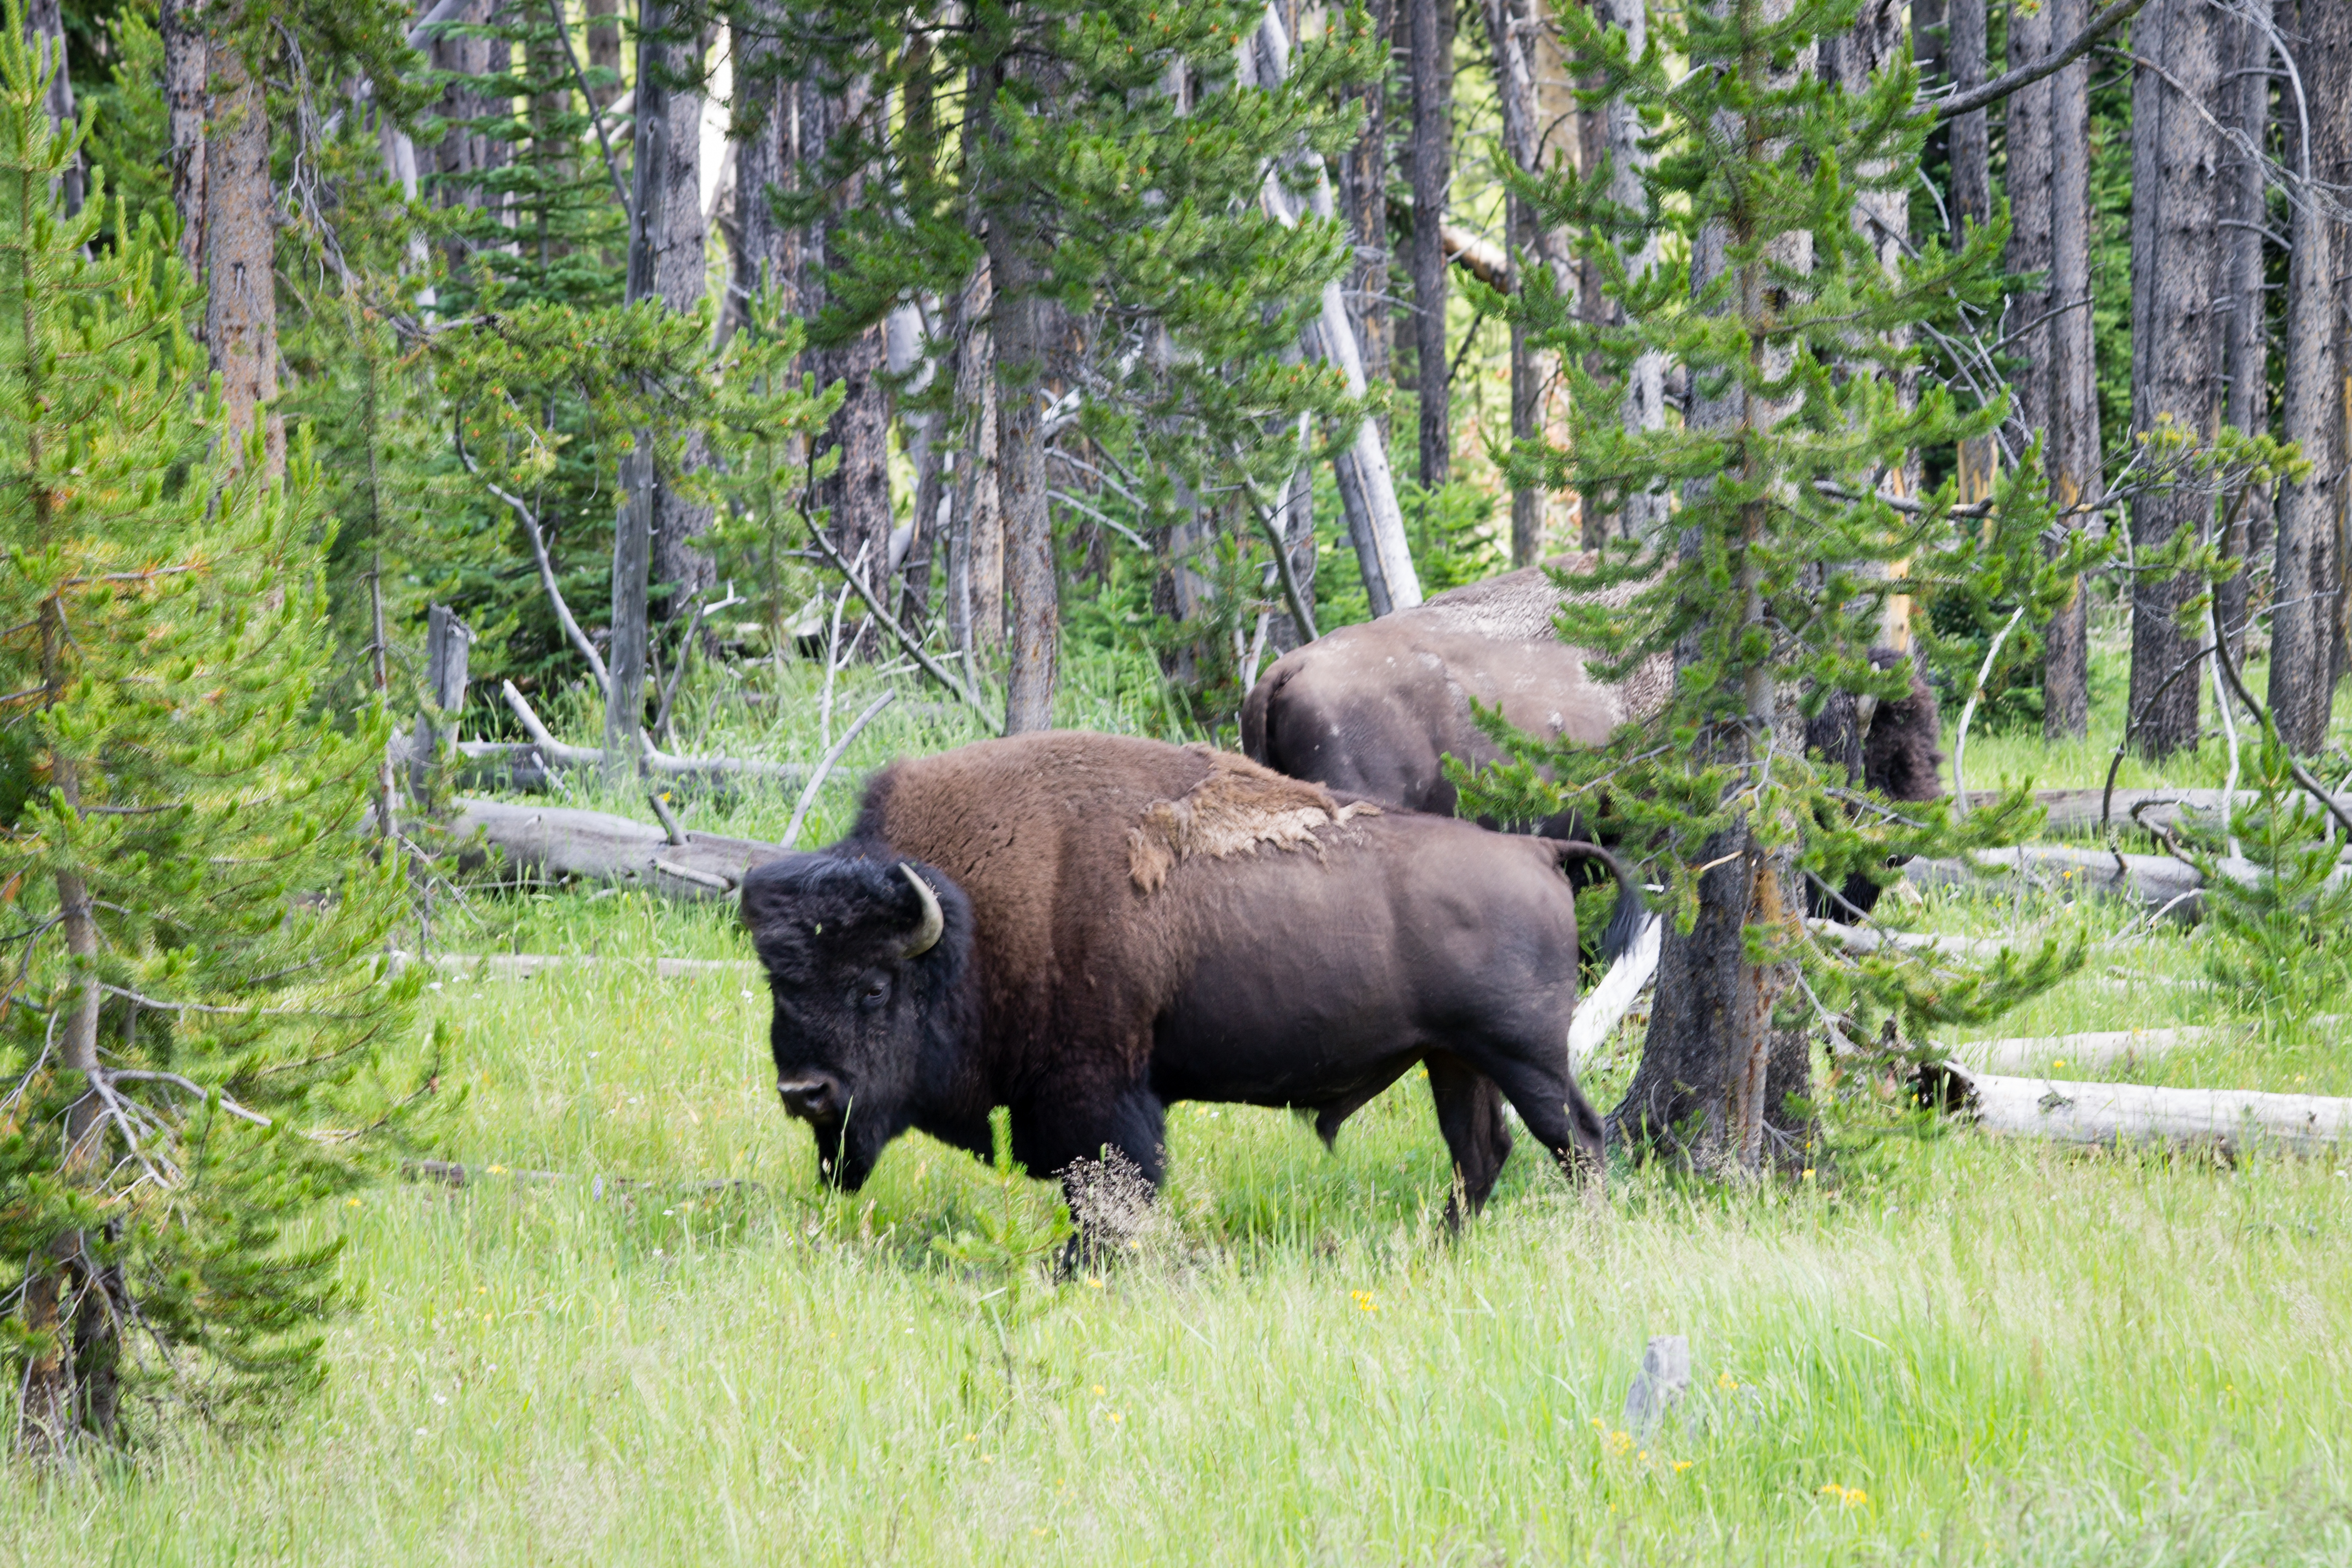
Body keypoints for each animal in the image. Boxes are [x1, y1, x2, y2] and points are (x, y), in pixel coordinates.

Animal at [739, 731, 1643, 1227]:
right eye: (779, 984)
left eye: (872, 987)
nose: (804, 1093)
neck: (974, 912)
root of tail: (1539, 851)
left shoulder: (1097, 1093)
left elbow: (1112, 1192)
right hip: (1455, 1059)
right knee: (1481, 1154)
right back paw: (1435, 1252)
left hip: (1523, 1055)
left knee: (1579, 1141)